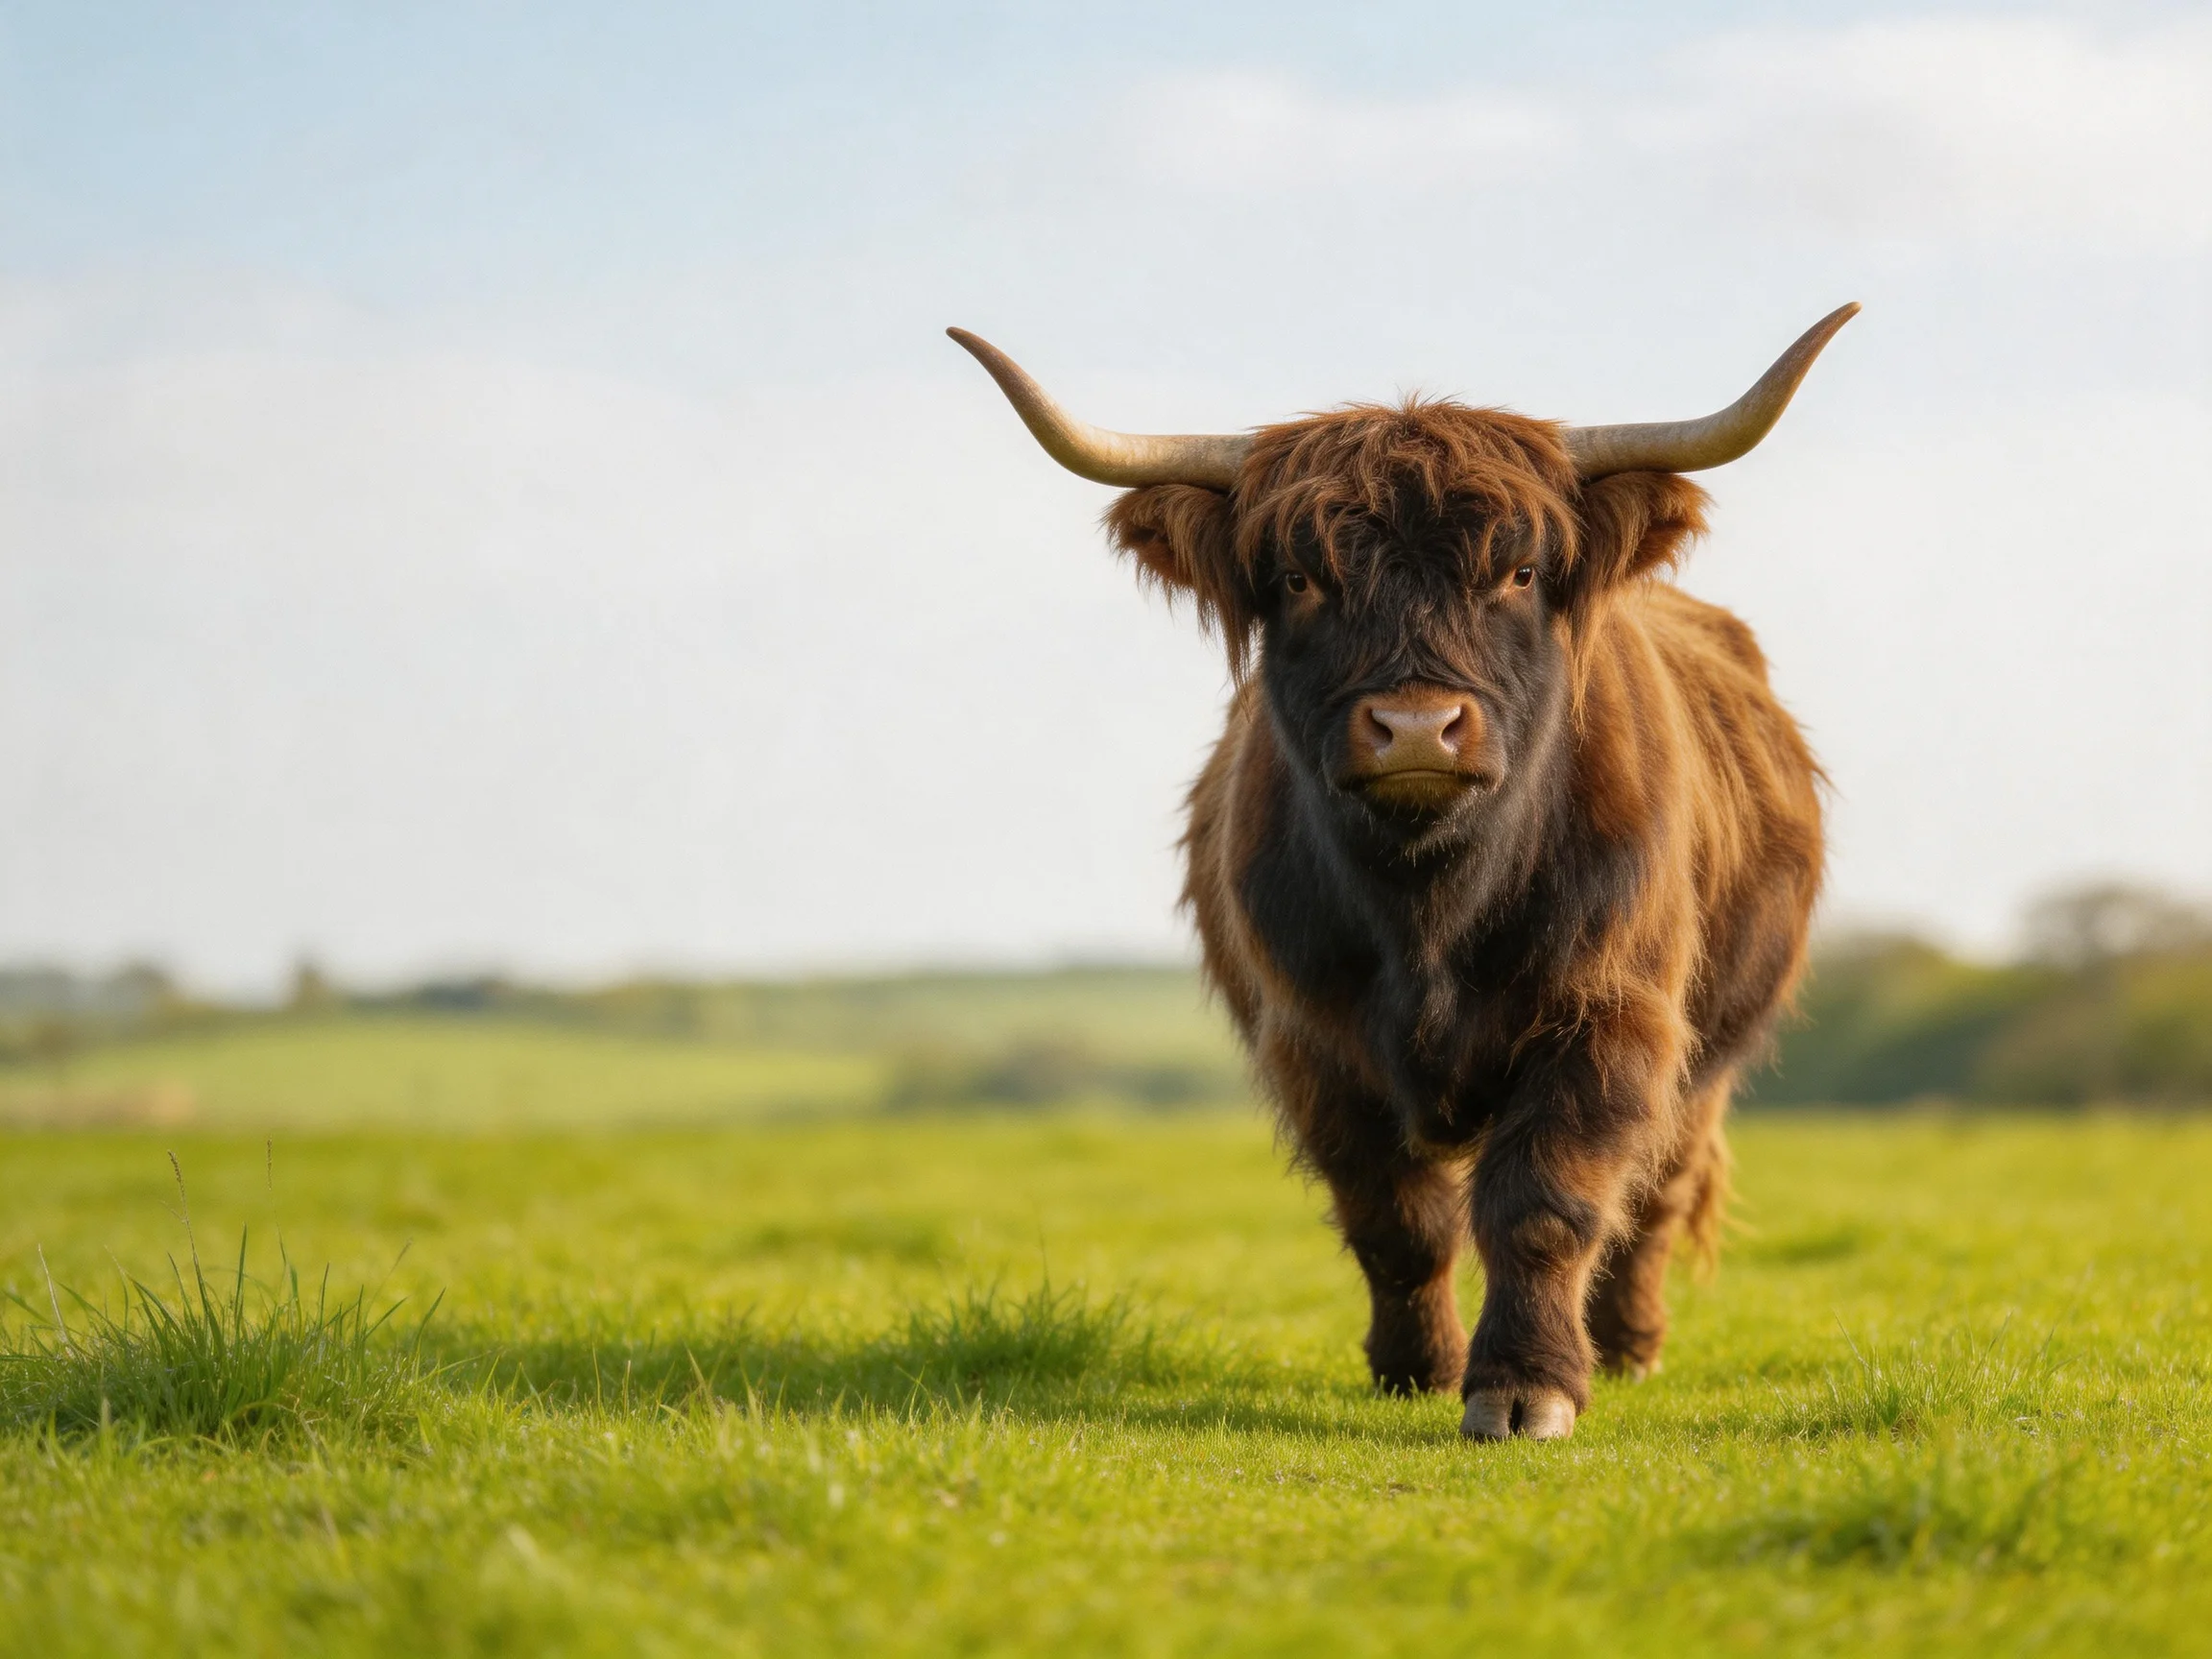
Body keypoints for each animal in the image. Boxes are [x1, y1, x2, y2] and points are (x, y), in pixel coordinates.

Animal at [949, 307, 1854, 1439]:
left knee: (1660, 1186)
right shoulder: (1316, 1040)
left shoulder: (1610, 1014)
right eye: (1301, 579)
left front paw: (1526, 1387)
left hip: (1713, 1048)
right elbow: (1398, 1220)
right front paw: (1418, 1367)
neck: (1430, 907)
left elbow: (1545, 1203)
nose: (1417, 727)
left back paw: (1630, 1346)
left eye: (1518, 572)